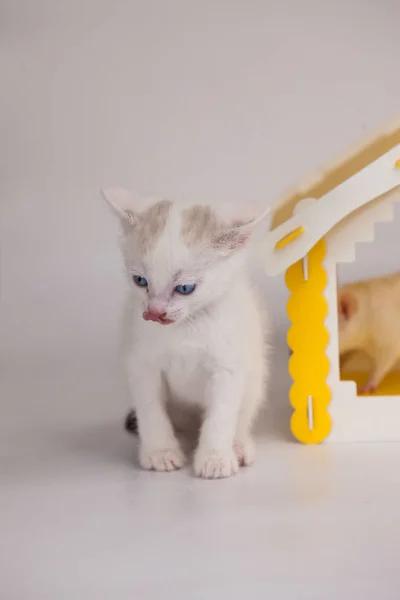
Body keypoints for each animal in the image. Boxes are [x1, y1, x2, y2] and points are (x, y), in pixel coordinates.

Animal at [101, 190, 270, 480]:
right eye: (140, 281)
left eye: (185, 288)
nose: (154, 312)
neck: (186, 327)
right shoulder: (142, 364)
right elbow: (151, 409)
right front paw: (160, 452)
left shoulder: (228, 366)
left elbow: (221, 414)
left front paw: (215, 458)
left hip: (255, 379)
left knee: (243, 413)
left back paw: (238, 445)